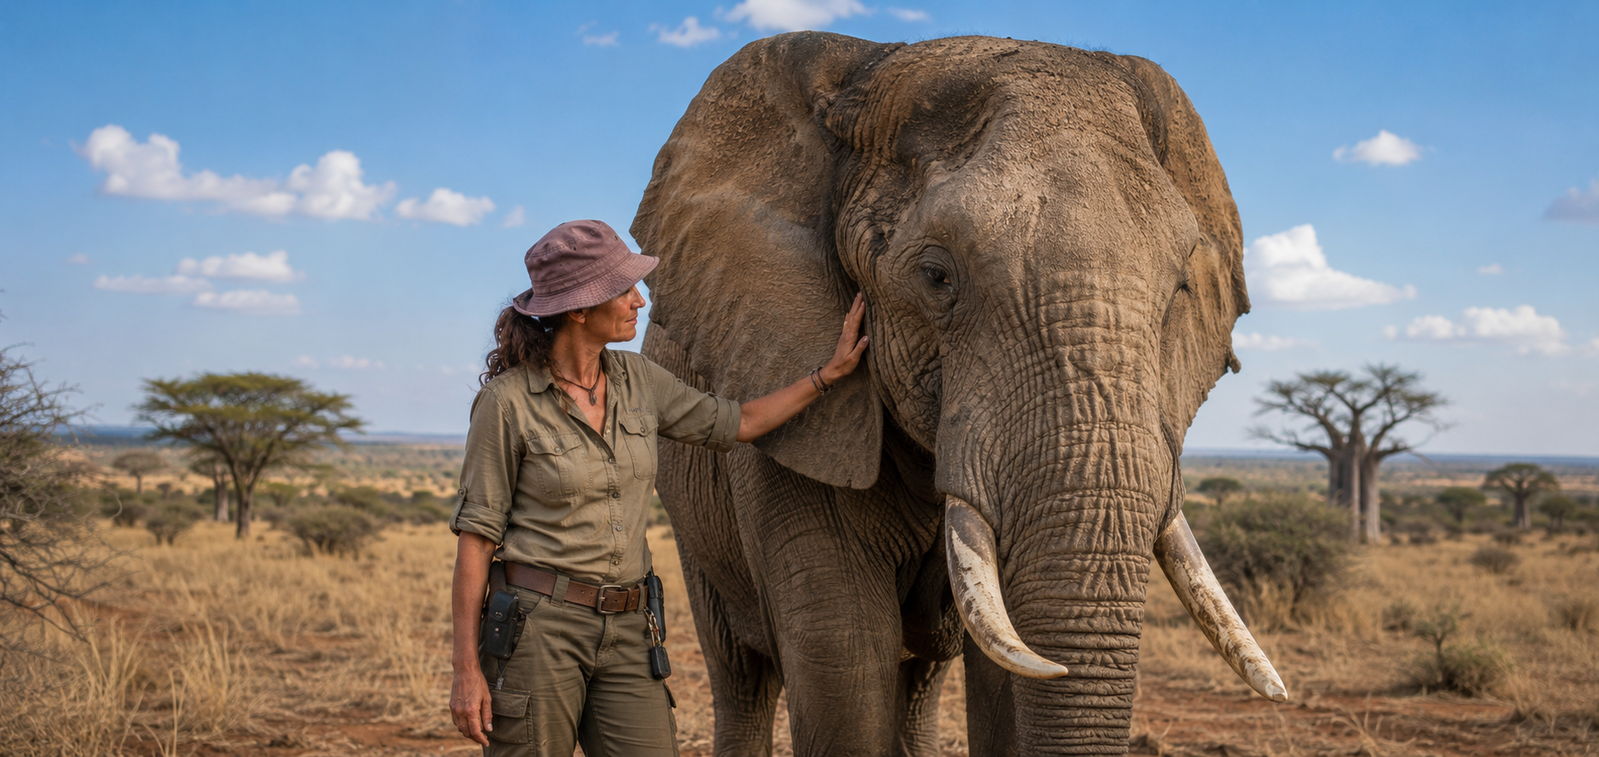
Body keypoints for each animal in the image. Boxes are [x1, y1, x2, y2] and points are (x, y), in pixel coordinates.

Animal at [630, 31, 1286, 757]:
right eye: (936, 277)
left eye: (1180, 291)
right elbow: (843, 665)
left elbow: (1001, 679)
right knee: (743, 676)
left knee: (918, 681)